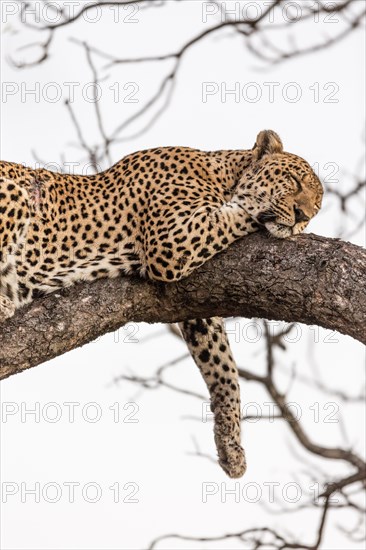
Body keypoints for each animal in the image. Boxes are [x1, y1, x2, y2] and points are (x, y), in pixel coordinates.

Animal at [0, 130, 322, 478]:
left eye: (317, 206)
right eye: (293, 180)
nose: (303, 216)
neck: (221, 175)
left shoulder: (196, 306)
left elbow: (222, 366)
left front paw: (230, 444)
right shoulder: (172, 240)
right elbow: (238, 212)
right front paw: (253, 205)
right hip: (14, 192)